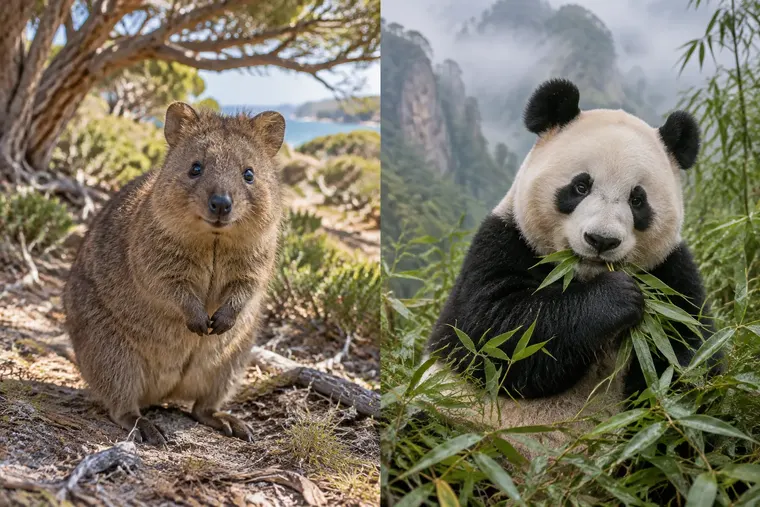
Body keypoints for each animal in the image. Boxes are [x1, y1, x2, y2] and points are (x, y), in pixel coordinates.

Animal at [423, 78, 723, 455]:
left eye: (637, 199)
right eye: (581, 186)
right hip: (453, 423)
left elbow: (692, 354)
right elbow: (493, 334)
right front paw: (616, 298)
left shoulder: (671, 272)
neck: (582, 276)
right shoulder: (502, 241)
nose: (601, 240)